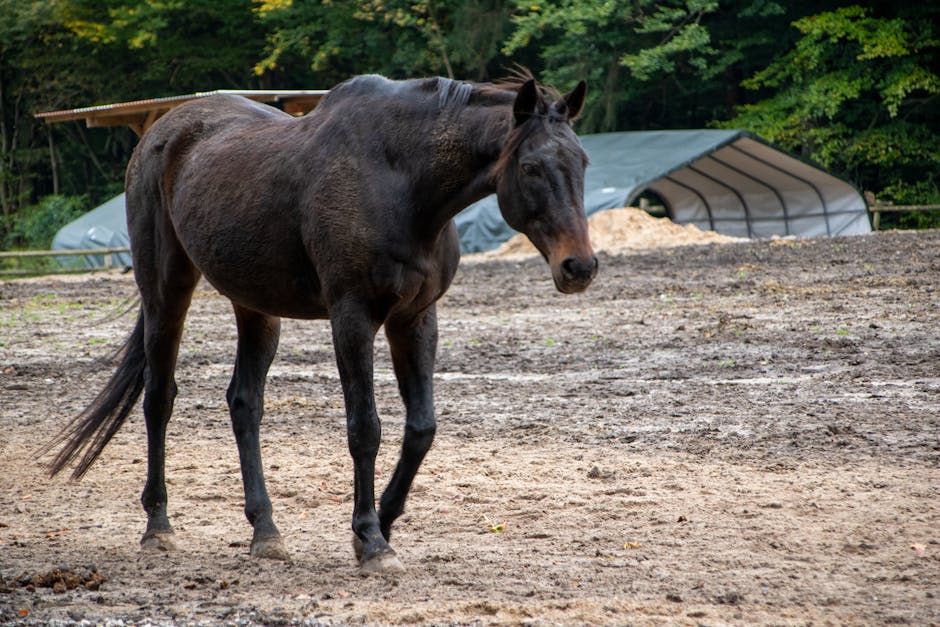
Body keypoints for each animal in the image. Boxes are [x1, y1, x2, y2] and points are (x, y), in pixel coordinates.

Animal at [42, 68, 596, 576]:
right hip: (166, 290)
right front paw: (371, 540)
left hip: (256, 306)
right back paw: (158, 527)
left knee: (244, 404)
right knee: (159, 398)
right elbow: (365, 428)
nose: (580, 267)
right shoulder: (352, 317)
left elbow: (421, 428)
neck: (402, 181)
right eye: (531, 166)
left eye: (583, 162)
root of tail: (163, 131)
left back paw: (265, 531)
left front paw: (382, 522)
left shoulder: (415, 318)